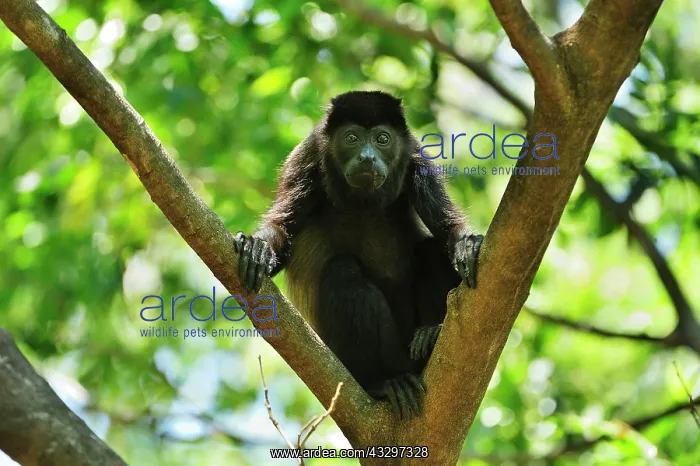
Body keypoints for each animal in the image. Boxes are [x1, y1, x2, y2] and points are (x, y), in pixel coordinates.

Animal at [233, 90, 483, 419]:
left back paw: (430, 337)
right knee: (344, 272)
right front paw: (258, 248)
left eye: (382, 139)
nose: (366, 156)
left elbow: (445, 227)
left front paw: (467, 245)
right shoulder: (306, 158)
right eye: (351, 138)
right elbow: (282, 229)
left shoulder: (417, 158)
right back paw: (383, 383)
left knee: (431, 251)